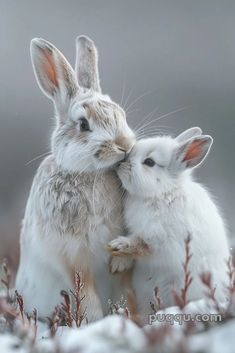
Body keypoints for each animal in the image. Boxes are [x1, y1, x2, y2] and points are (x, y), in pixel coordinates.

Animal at [15, 35, 136, 322]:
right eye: (83, 125)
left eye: (121, 114)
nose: (125, 145)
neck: (90, 174)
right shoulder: (72, 256)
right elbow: (85, 292)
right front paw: (95, 320)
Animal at [108, 127, 229, 324]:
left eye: (149, 162)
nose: (121, 163)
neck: (162, 192)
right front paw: (118, 263)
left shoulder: (164, 241)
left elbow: (142, 245)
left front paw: (119, 246)